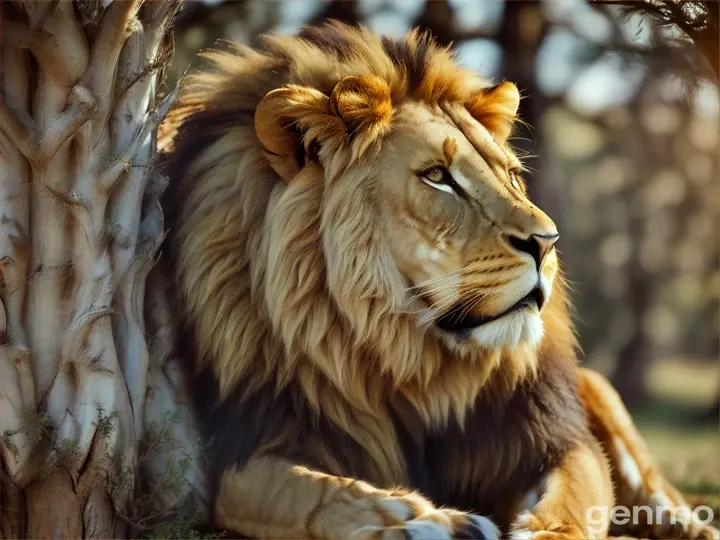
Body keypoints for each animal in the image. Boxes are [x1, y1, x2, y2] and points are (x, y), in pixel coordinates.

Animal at [159, 21, 720, 540]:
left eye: (510, 176)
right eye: (438, 177)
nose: (548, 242)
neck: (409, 362)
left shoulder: (544, 433)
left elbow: (577, 494)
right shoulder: (244, 442)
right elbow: (303, 493)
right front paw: (426, 520)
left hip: (597, 389)